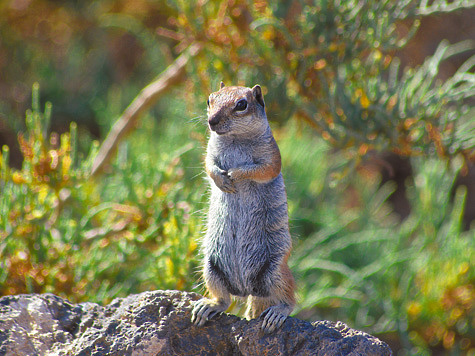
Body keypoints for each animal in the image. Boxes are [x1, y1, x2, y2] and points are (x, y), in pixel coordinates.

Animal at [192, 82, 296, 332]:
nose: (211, 121)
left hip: (276, 269)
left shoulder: (271, 155)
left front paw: (235, 174)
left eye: (241, 105)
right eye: (210, 99)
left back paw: (277, 313)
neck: (235, 139)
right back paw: (208, 306)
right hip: (211, 267)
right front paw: (222, 179)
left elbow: (261, 169)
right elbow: (209, 165)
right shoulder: (210, 152)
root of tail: (248, 289)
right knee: (224, 300)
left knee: (289, 298)